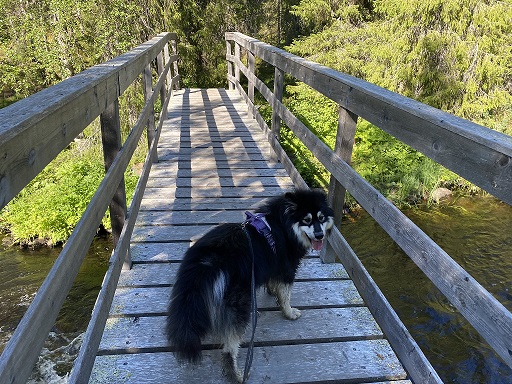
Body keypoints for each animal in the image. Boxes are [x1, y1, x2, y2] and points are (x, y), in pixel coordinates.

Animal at [168, 189, 334, 380]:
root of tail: (207, 260)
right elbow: (286, 296)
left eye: (321, 218)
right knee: (229, 348)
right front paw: (289, 312)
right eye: (306, 220)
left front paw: (272, 291)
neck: (283, 225)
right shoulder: (287, 269)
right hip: (240, 305)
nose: (320, 235)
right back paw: (237, 374)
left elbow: (273, 284)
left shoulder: (273, 265)